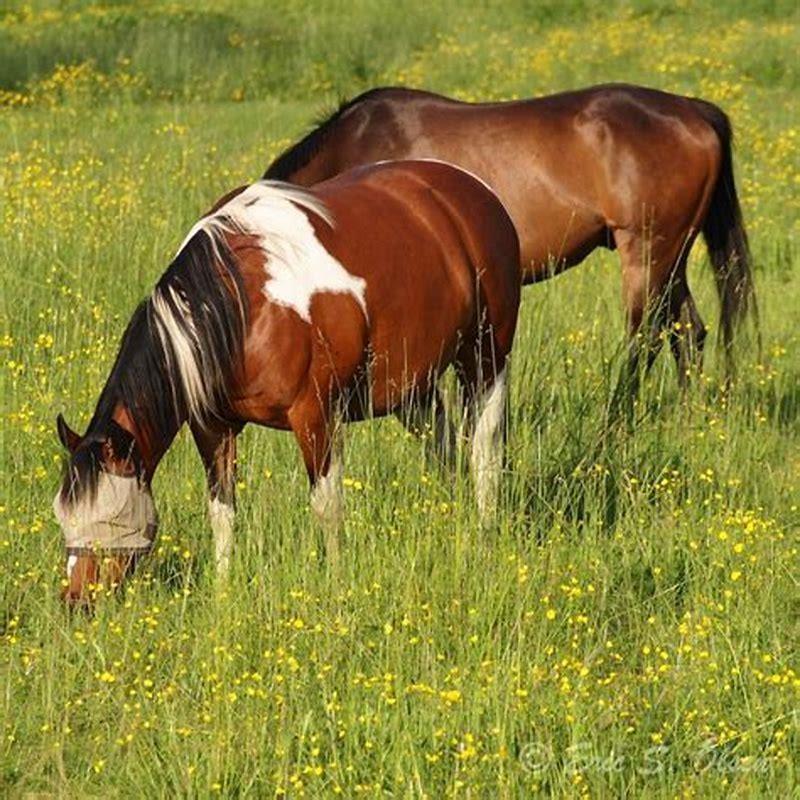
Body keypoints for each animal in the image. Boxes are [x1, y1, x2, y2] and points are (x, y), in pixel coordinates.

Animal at [53, 159, 521, 604]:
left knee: (483, 451)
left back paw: (484, 531)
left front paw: (336, 585)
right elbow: (222, 511)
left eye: (110, 517)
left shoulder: (315, 417)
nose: (76, 599)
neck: (241, 304)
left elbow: (327, 507)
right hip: (413, 390)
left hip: (485, 359)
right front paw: (223, 592)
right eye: (62, 515)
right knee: (444, 452)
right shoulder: (212, 428)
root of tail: (475, 192)